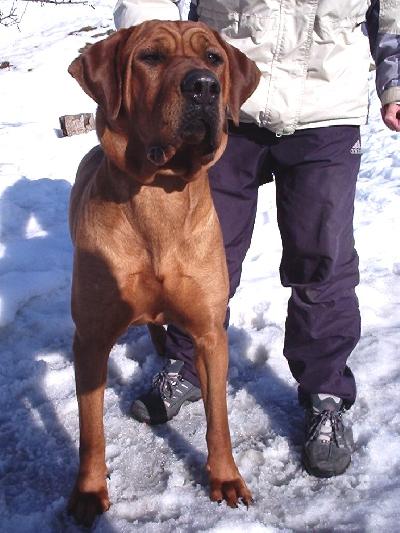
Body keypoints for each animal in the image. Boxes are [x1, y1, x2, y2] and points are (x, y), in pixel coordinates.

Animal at [67, 20, 260, 526]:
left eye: (214, 58)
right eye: (150, 57)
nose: (204, 87)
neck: (159, 190)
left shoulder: (210, 331)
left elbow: (218, 418)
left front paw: (226, 478)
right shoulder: (90, 339)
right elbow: (91, 429)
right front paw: (89, 491)